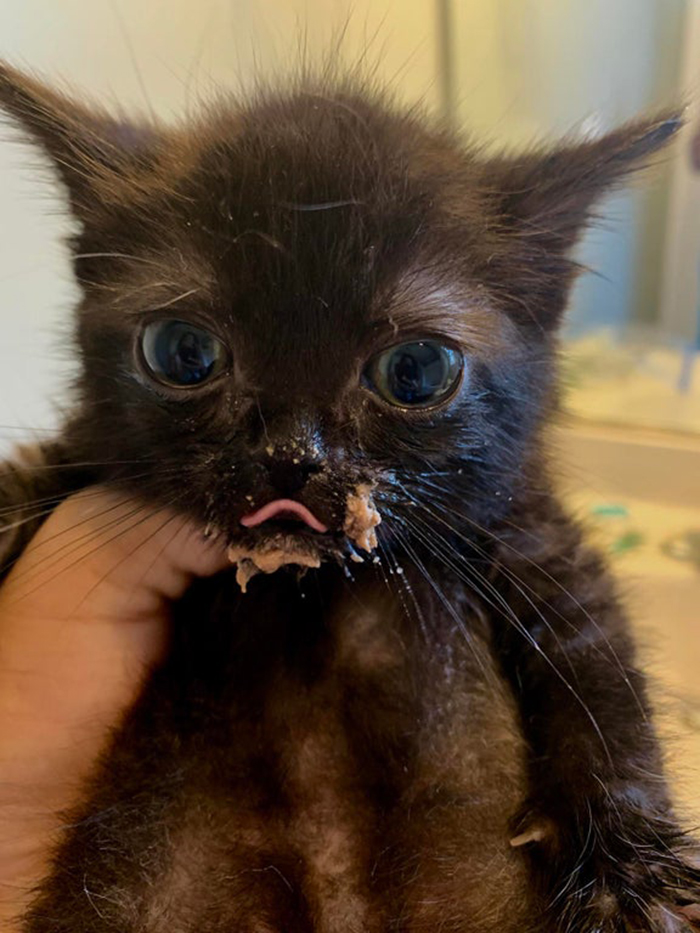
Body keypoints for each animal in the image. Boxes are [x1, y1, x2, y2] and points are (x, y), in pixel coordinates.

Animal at [1, 62, 700, 928]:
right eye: (183, 352)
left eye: (417, 371)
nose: (291, 455)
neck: (312, 589)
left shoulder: (534, 536)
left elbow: (603, 677)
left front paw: (633, 879)